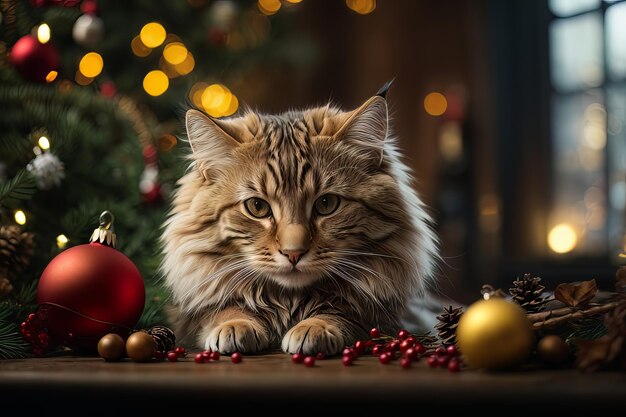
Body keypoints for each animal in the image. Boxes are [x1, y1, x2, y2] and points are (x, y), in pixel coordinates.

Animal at [158, 86, 436, 352]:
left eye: (326, 204)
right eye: (257, 207)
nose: (293, 253)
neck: (288, 303)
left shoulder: (389, 315)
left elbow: (343, 313)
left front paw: (316, 327)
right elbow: (224, 310)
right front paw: (235, 324)